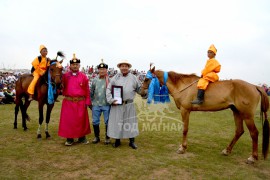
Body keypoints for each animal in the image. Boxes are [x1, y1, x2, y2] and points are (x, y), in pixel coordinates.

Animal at [140, 65, 268, 163]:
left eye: (146, 79)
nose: (141, 93)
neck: (183, 86)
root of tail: (255, 86)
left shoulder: (185, 110)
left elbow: (185, 129)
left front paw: (182, 148)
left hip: (247, 116)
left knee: (254, 133)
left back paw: (252, 157)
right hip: (236, 112)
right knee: (239, 131)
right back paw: (227, 150)